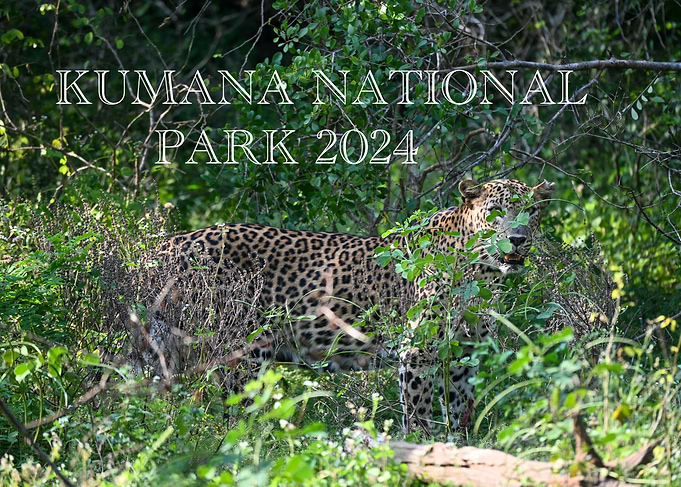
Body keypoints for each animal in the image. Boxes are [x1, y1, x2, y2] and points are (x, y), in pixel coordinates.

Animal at [149, 178, 555, 434]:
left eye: (531, 212)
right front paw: (423, 449)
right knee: (233, 418)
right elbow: (418, 412)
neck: (483, 274)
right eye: (497, 211)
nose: (517, 238)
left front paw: (462, 450)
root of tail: (165, 246)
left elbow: (460, 411)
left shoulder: (463, 355)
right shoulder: (419, 350)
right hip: (241, 354)